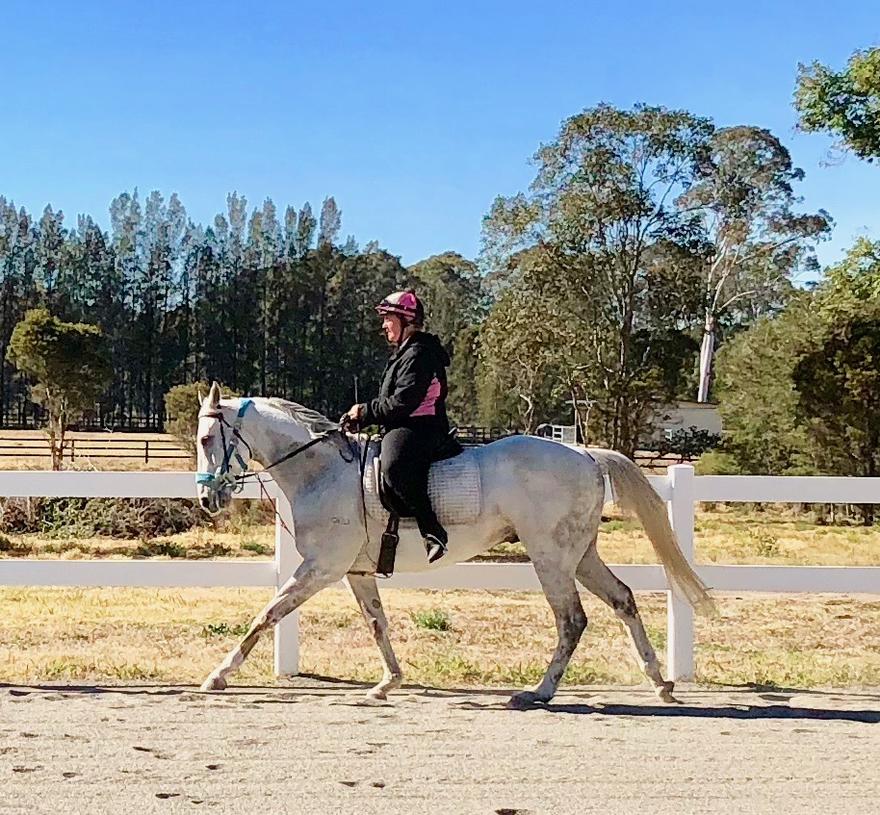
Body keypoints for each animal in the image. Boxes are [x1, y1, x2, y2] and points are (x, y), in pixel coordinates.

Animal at [194, 382, 712, 708]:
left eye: (205, 438)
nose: (207, 498)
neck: (322, 471)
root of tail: (584, 453)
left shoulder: (321, 568)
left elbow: (267, 615)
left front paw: (218, 675)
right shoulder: (355, 572)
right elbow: (377, 625)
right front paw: (388, 683)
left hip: (551, 559)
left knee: (572, 620)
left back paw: (539, 692)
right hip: (580, 556)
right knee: (623, 600)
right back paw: (660, 683)